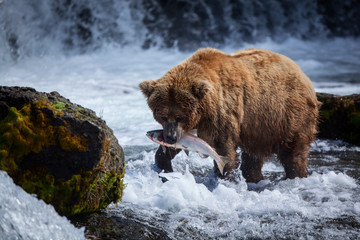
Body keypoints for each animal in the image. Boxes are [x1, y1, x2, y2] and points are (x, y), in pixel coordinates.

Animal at [139, 47, 320, 183]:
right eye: (162, 116)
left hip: (287, 114)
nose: (170, 138)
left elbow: (222, 147)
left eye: (180, 117)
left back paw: (296, 175)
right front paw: (164, 167)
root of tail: (303, 74)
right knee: (254, 156)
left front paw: (224, 178)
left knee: (293, 152)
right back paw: (255, 178)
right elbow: (179, 146)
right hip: (259, 126)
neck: (204, 110)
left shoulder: (222, 113)